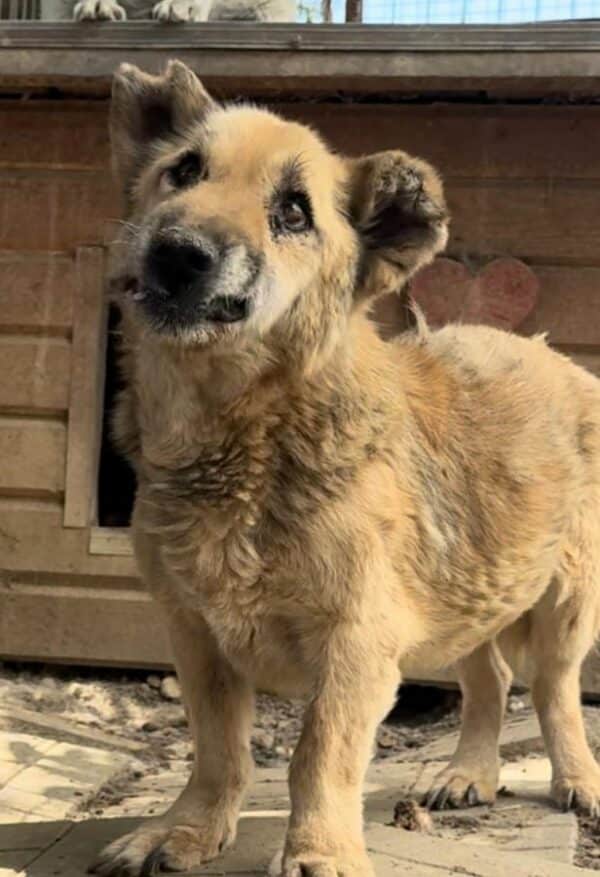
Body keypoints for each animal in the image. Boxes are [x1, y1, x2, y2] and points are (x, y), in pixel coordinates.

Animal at [90, 60, 600, 876]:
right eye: (185, 170)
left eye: (294, 212)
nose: (179, 252)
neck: (245, 441)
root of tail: (553, 354)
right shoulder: (196, 636)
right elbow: (216, 750)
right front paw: (185, 830)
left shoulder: (357, 641)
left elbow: (318, 756)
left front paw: (317, 852)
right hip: (470, 590)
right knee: (488, 679)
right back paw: (470, 772)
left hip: (564, 602)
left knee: (554, 692)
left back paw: (576, 779)